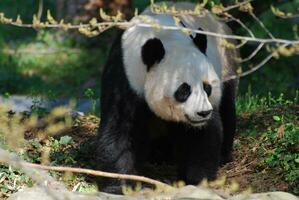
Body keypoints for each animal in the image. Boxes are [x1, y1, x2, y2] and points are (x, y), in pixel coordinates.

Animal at [97, 1, 240, 194]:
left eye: (207, 87)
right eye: (184, 90)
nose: (203, 113)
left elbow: (201, 136)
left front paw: (196, 181)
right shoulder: (123, 74)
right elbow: (118, 129)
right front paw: (120, 185)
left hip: (226, 62)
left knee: (227, 107)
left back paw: (223, 155)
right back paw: (159, 155)